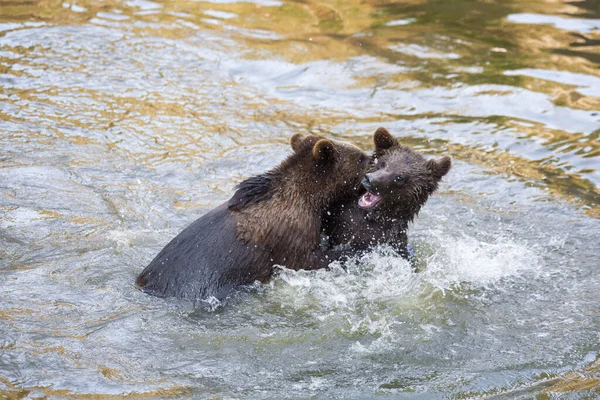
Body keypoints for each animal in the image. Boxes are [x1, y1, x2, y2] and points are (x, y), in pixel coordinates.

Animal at [136, 133, 370, 302]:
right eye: (360, 157)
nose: (373, 157)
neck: (308, 200)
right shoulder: (290, 239)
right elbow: (313, 258)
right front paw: (354, 251)